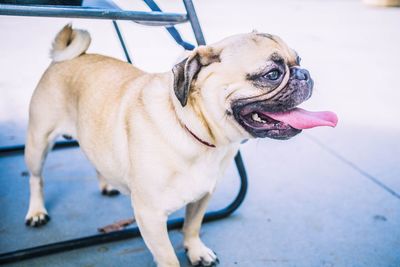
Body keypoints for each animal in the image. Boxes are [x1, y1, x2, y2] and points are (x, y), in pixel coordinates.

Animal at [25, 24, 338, 266]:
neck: (197, 134)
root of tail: (64, 58)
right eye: (272, 74)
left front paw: (196, 251)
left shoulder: (202, 196)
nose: (304, 73)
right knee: (36, 179)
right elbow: (167, 256)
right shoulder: (150, 216)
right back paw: (37, 212)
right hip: (38, 144)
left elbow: (192, 227)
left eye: (299, 59)